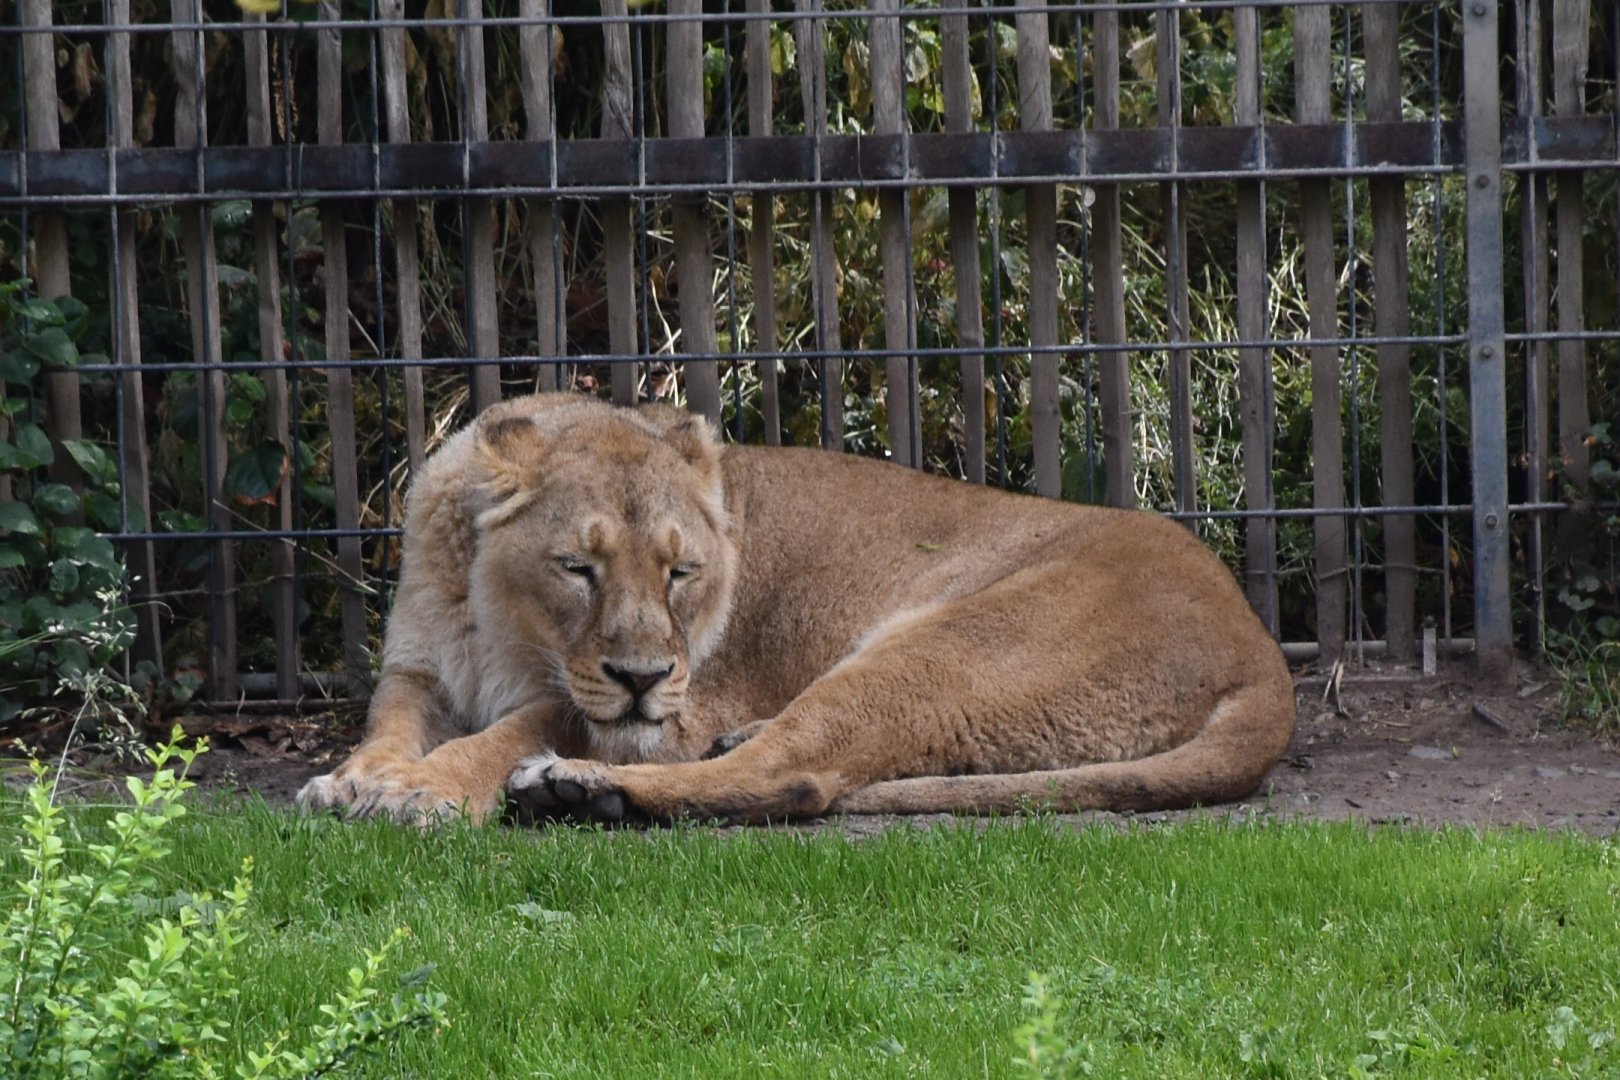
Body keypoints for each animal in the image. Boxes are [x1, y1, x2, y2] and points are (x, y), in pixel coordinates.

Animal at [297, 394, 1295, 824]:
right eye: (578, 567)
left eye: (682, 573)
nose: (642, 676)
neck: (495, 622)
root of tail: (1262, 652)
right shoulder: (417, 671)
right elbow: (388, 724)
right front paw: (356, 778)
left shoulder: (671, 706)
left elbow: (518, 728)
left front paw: (421, 790)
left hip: (939, 649)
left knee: (798, 778)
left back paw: (578, 791)